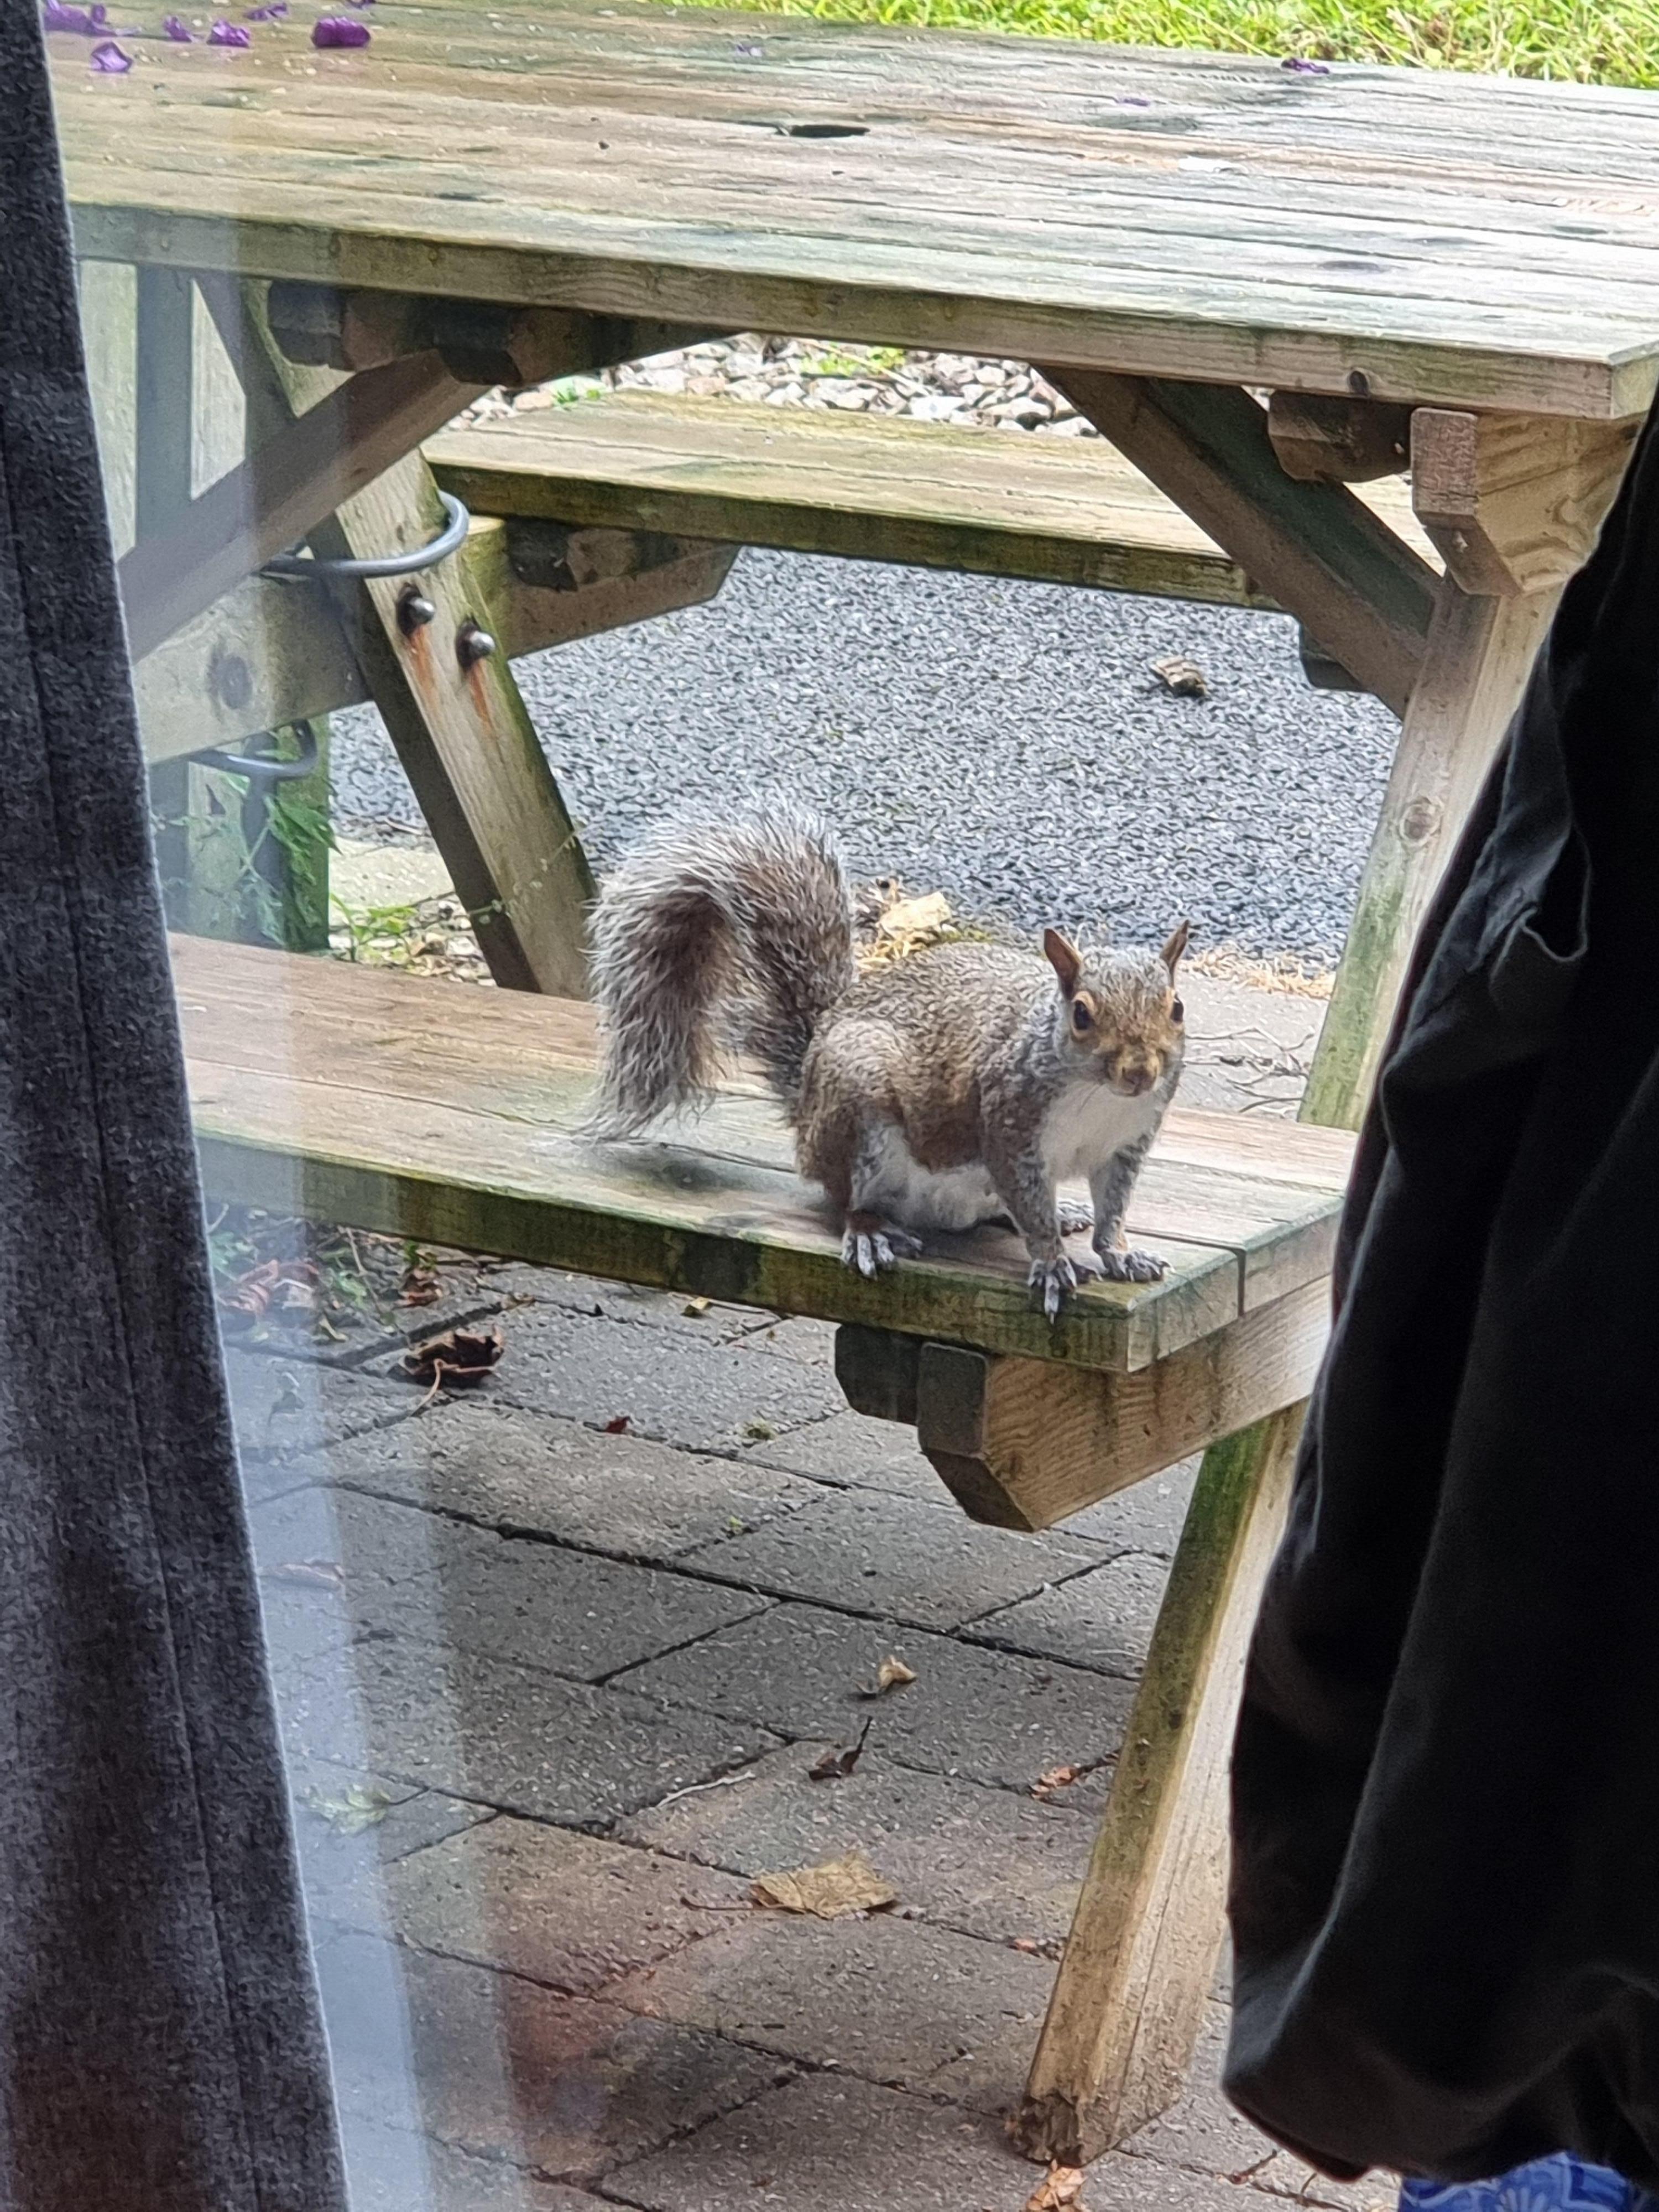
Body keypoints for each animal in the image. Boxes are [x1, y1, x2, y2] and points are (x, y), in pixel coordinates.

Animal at [588, 806, 1189, 1320]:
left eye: (1177, 1008)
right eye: (1082, 1014)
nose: (1141, 1072)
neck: (1100, 1098)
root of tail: (808, 1094)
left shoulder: (1127, 1144)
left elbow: (1113, 1208)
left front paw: (1119, 1252)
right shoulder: (1008, 1124)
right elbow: (1028, 1201)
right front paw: (1050, 1262)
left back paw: (1053, 1214)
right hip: (857, 1108)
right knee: (843, 1199)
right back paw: (871, 1230)